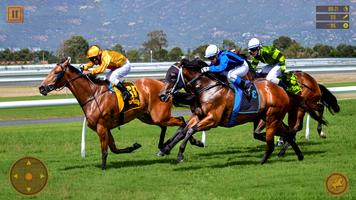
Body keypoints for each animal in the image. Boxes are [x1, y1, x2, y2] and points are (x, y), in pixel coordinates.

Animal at [39, 57, 203, 170]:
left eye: (56, 72)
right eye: (50, 71)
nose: (41, 87)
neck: (93, 95)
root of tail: (164, 85)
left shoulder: (101, 127)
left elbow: (105, 150)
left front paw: (103, 168)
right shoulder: (106, 127)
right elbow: (114, 149)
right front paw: (133, 146)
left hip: (159, 115)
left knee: (181, 120)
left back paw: (187, 143)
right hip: (147, 117)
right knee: (167, 125)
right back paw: (165, 147)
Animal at [159, 58, 304, 164]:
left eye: (173, 76)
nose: (161, 95)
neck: (208, 89)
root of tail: (281, 90)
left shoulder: (213, 119)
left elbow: (190, 130)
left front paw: (180, 154)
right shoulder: (198, 115)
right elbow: (183, 130)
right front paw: (166, 149)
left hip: (272, 118)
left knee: (276, 137)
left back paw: (265, 158)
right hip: (271, 118)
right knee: (287, 134)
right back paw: (298, 155)